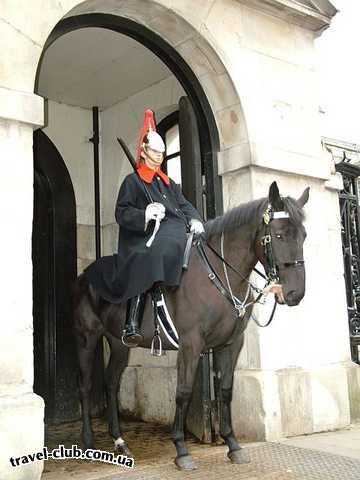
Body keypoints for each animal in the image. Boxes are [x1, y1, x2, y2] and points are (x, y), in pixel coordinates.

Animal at [74, 182, 310, 470]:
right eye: (278, 235)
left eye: (304, 235)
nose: (295, 293)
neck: (218, 273)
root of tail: (85, 275)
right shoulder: (191, 344)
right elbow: (183, 392)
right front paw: (181, 449)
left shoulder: (231, 343)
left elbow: (226, 390)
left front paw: (233, 444)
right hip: (87, 338)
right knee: (86, 386)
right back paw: (88, 441)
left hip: (119, 344)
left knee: (111, 383)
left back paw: (119, 441)